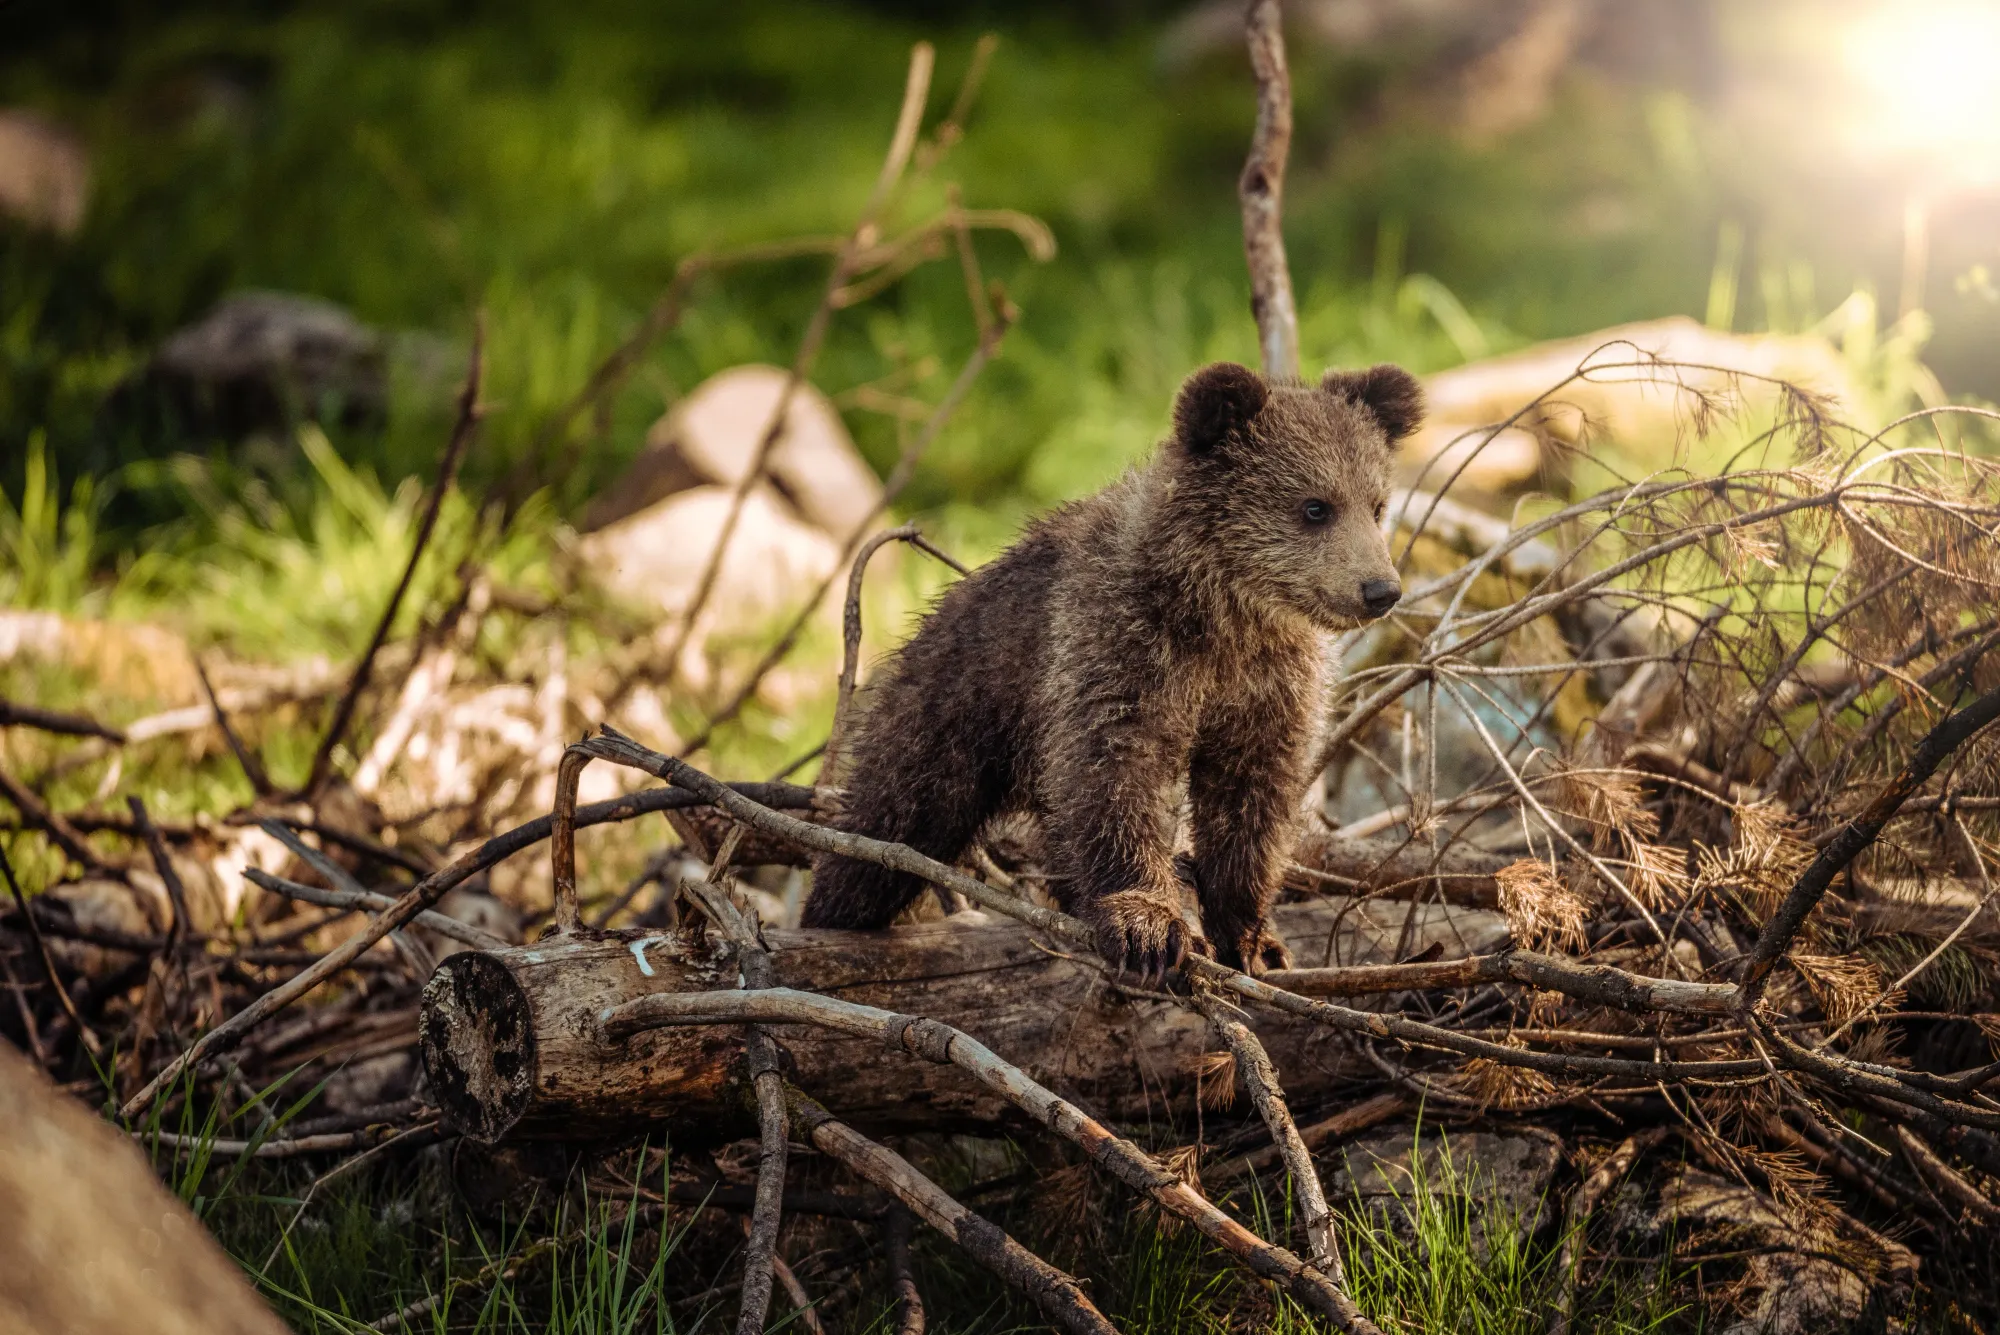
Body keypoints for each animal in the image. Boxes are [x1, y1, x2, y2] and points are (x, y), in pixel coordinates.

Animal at [802, 360, 1422, 975]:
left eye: (1376, 504)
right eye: (1315, 506)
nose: (1380, 590)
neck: (1224, 615)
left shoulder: (1267, 684)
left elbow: (1252, 797)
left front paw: (1253, 939)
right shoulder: (1118, 647)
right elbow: (1115, 773)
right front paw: (1148, 926)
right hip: (950, 712)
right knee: (888, 826)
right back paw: (831, 914)